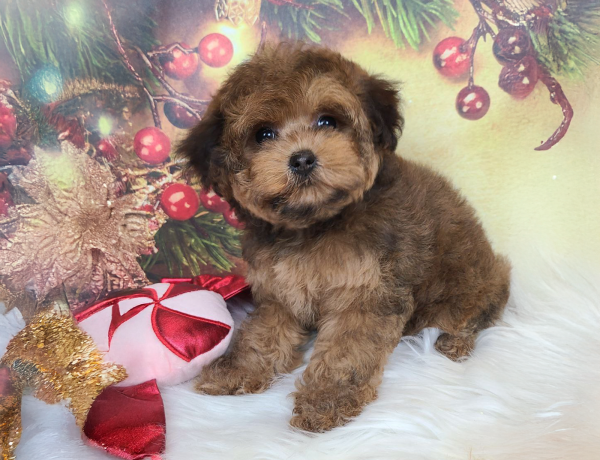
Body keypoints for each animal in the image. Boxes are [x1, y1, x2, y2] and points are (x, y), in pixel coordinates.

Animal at [178, 43, 511, 433]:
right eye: (263, 134)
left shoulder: (366, 295)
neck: (315, 223)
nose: (302, 159)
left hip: (470, 286)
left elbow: (345, 351)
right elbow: (263, 331)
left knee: (477, 311)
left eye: (328, 121)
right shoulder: (280, 291)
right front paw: (240, 369)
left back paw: (456, 342)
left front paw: (327, 401)